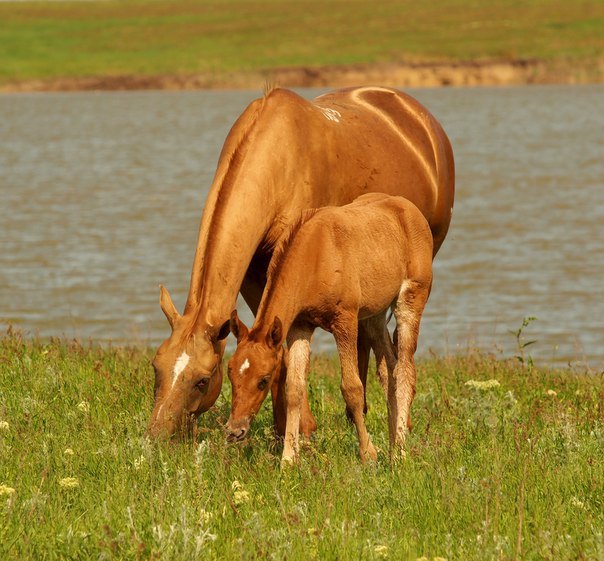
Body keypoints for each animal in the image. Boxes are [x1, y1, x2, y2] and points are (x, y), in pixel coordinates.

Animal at [228, 194, 434, 464]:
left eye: (263, 380)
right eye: (230, 374)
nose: (235, 431)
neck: (316, 255)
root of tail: (410, 209)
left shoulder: (345, 320)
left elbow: (352, 388)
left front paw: (368, 453)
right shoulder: (299, 326)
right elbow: (294, 388)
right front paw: (288, 460)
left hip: (410, 299)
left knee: (406, 374)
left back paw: (399, 451)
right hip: (374, 315)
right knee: (389, 371)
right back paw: (392, 447)